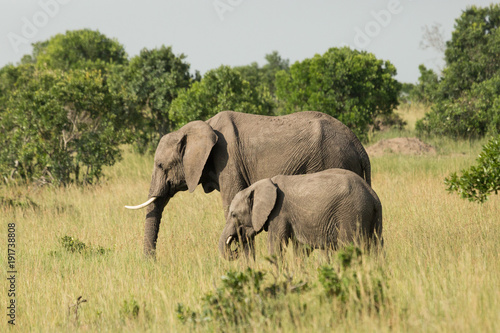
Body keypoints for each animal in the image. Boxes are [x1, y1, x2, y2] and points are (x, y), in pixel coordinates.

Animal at [125, 111, 372, 256]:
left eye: (160, 165)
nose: (151, 263)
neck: (201, 127)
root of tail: (360, 147)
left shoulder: (228, 161)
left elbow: (231, 203)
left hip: (332, 159)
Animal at [219, 169, 382, 260]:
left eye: (233, 214)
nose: (235, 250)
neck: (262, 184)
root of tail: (372, 195)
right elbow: (300, 250)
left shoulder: (279, 213)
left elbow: (275, 247)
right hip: (373, 216)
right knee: (377, 246)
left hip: (351, 214)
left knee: (350, 247)